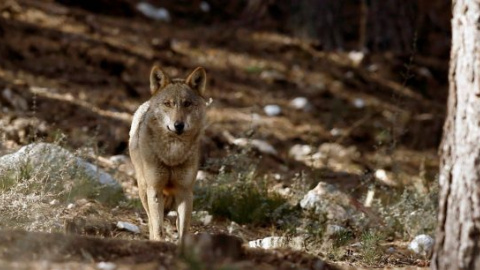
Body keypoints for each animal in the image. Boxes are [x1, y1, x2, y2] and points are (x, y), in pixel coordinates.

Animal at [128, 65, 207, 240]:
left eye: (187, 103)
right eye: (168, 104)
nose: (178, 125)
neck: (172, 154)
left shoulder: (185, 192)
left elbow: (183, 231)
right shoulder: (155, 189)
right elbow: (158, 228)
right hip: (144, 189)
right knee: (151, 221)